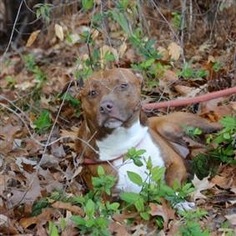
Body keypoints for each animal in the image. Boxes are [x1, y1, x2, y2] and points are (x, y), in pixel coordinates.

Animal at [76, 68, 221, 201]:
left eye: (123, 85)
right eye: (92, 93)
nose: (105, 106)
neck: (124, 143)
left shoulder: (176, 164)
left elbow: (171, 188)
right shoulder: (109, 195)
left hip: (169, 127)